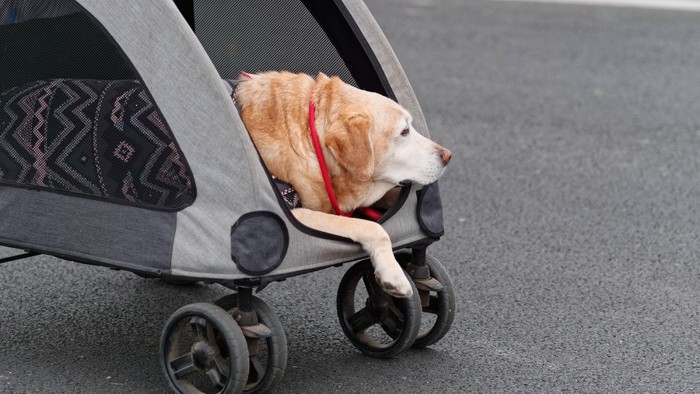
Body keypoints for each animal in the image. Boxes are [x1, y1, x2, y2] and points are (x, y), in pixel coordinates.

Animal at [235, 71, 454, 298]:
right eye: (404, 131)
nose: (448, 155)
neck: (310, 138)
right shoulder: (296, 215)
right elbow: (373, 227)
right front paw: (393, 275)